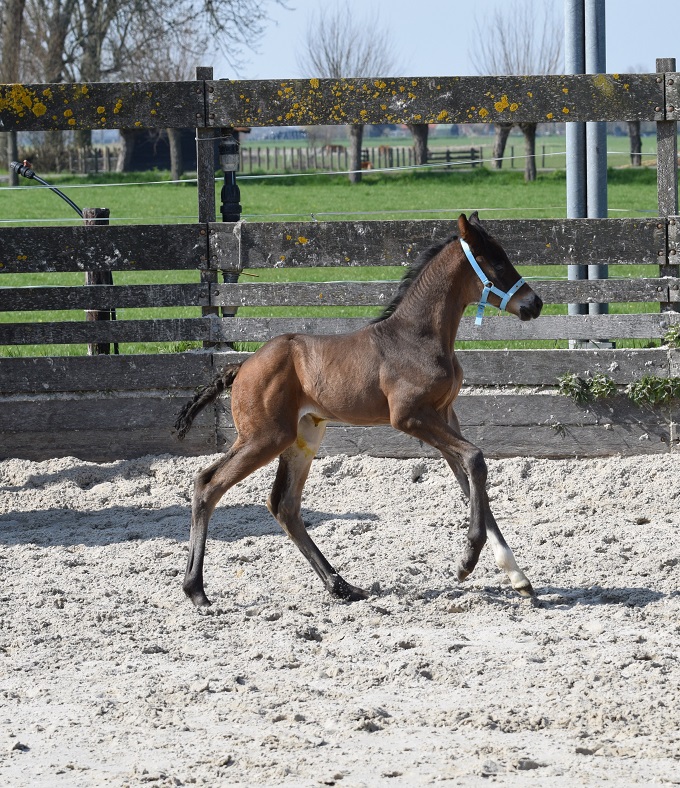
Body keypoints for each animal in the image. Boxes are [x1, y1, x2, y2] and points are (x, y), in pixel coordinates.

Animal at [174, 212, 540, 608]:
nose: (534, 303)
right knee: (208, 485)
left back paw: (343, 587)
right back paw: (196, 590)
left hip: (303, 436)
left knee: (283, 505)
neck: (417, 337)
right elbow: (475, 459)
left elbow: (470, 478)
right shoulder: (411, 417)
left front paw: (519, 578)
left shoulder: (445, 415)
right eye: (497, 262)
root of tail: (241, 366)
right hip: (264, 437)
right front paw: (467, 562)